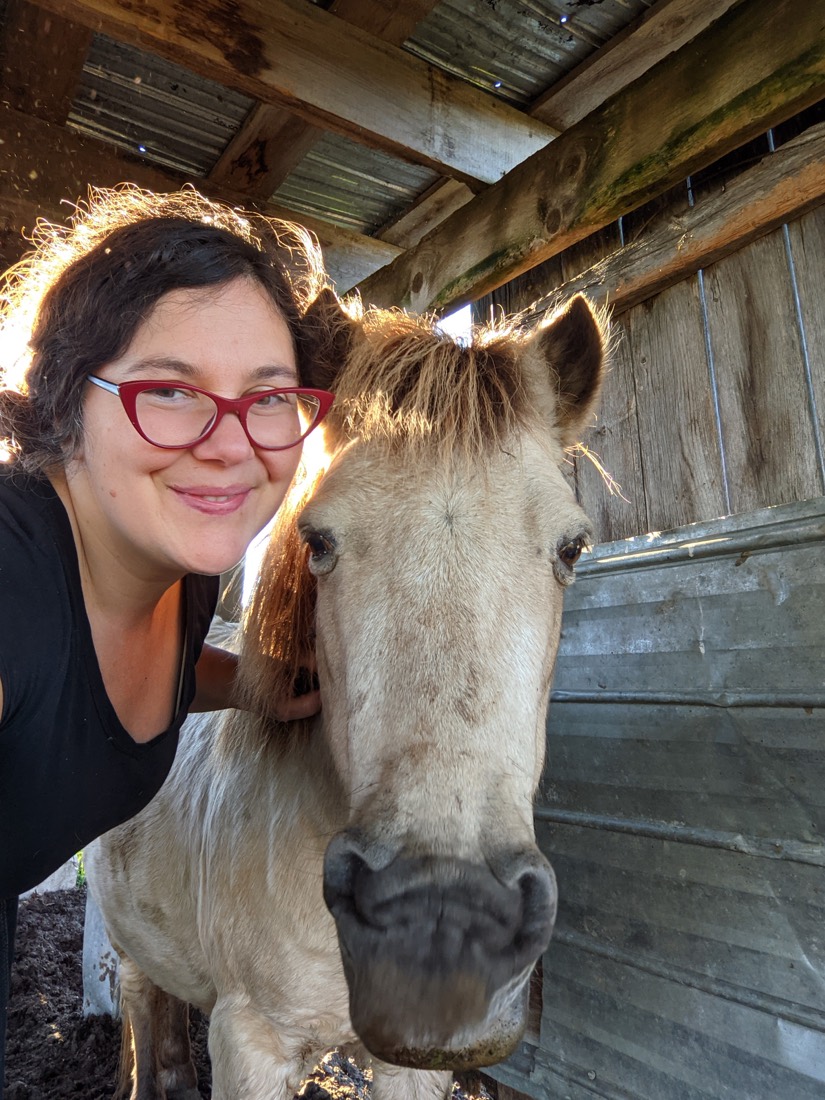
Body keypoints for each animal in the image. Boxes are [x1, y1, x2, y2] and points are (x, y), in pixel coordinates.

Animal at [86, 288, 608, 1100]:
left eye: (572, 547)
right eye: (318, 541)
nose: (441, 918)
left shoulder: (409, 1068)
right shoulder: (252, 1043)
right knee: (143, 1003)